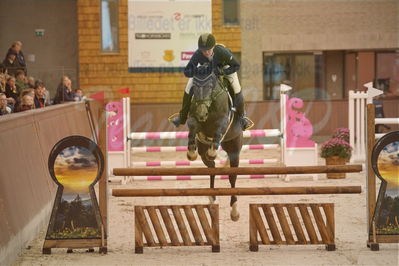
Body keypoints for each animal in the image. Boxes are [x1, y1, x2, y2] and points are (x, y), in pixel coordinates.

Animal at [185, 66, 244, 220]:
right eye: (194, 87)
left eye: (211, 87)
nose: (201, 113)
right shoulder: (194, 120)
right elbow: (192, 128)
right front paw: (191, 153)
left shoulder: (222, 122)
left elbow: (218, 132)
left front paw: (213, 151)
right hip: (203, 150)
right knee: (212, 168)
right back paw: (212, 198)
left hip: (234, 151)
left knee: (232, 177)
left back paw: (234, 210)